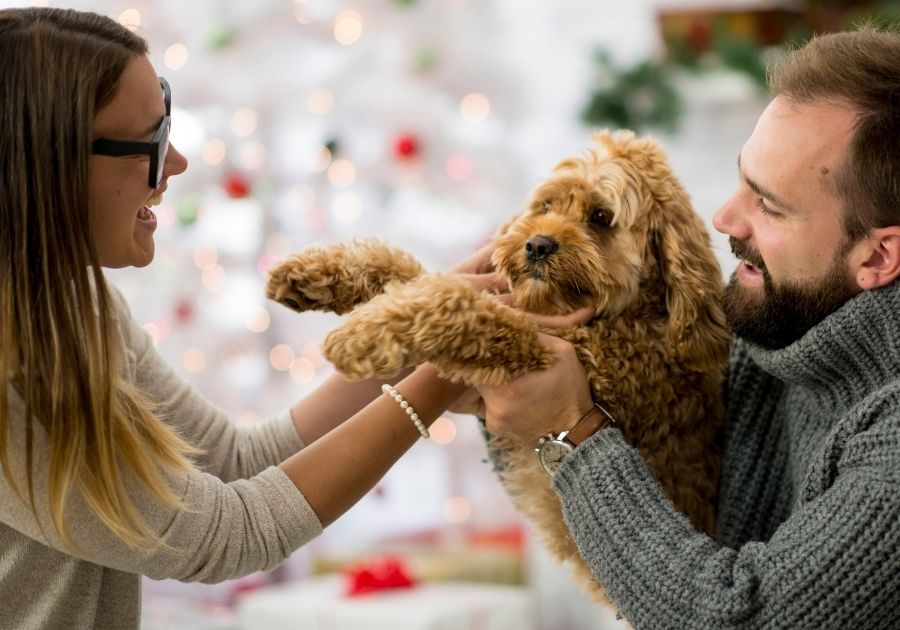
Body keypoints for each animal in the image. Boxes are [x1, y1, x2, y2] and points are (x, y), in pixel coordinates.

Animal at [266, 130, 732, 608]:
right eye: (546, 206)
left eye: (601, 217)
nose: (537, 245)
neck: (624, 320)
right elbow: (413, 274)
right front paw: (317, 274)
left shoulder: (551, 352)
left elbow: (460, 303)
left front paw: (365, 333)